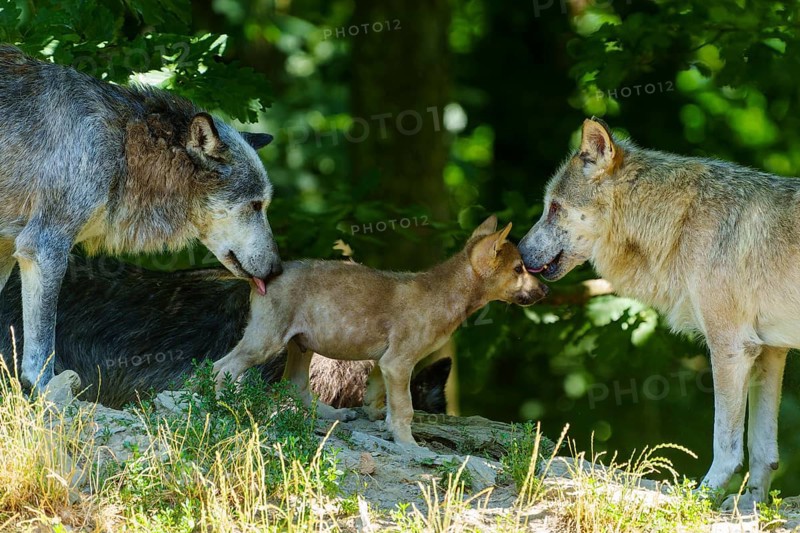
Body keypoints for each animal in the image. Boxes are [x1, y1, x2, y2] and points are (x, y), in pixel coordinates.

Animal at [0, 45, 281, 389]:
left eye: (264, 205)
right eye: (255, 205)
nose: (278, 269)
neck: (124, 148)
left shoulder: (8, 250)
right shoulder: (44, 247)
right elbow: (40, 356)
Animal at [213, 216, 549, 446]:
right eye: (518, 268)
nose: (545, 289)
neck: (449, 294)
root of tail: (265, 276)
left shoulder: (384, 364)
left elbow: (378, 399)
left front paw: (380, 423)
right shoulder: (398, 363)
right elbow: (404, 408)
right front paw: (409, 444)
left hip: (300, 345)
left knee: (296, 386)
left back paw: (334, 415)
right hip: (266, 340)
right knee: (223, 367)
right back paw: (223, 402)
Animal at [519, 117, 800, 510]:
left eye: (555, 208)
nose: (517, 252)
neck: (680, 222)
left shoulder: (731, 349)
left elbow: (725, 444)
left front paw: (703, 497)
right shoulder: (771, 353)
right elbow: (763, 451)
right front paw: (752, 508)